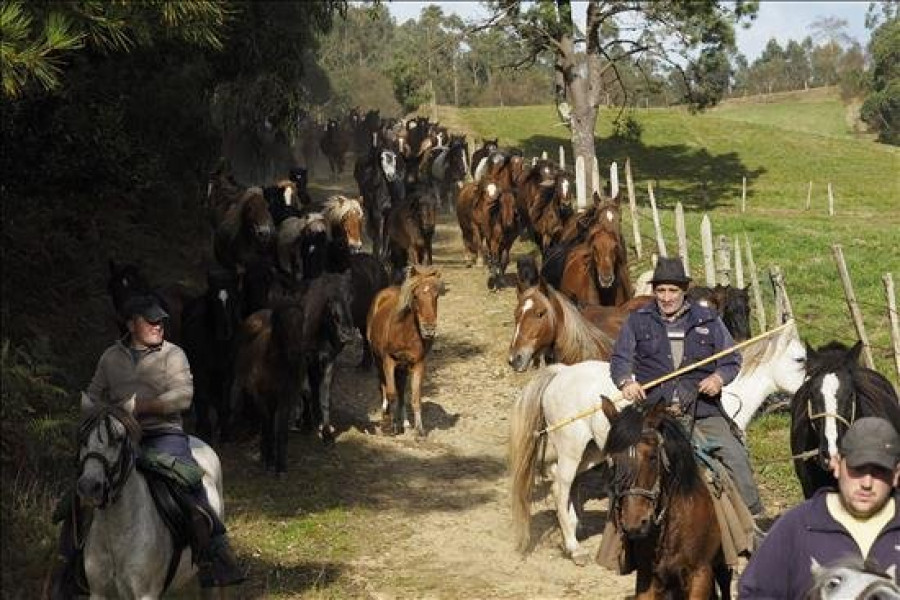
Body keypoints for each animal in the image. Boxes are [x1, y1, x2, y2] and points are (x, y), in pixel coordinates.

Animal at [78, 394, 225, 600]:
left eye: (118, 438)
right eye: (83, 438)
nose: (88, 487)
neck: (117, 533)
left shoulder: (146, 594)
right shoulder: (98, 592)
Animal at [368, 264, 444, 438]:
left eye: (436, 296)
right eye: (415, 296)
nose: (429, 329)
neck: (405, 331)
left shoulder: (418, 364)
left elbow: (415, 397)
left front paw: (419, 430)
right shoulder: (388, 361)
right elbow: (391, 393)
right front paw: (391, 427)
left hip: (402, 367)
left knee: (402, 390)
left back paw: (404, 422)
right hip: (377, 359)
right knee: (383, 385)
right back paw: (387, 417)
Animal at [506, 322, 808, 564]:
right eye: (799, 359)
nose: (809, 387)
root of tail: (560, 373)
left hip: (591, 452)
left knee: (561, 481)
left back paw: (573, 527)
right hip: (572, 447)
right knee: (561, 486)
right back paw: (574, 548)